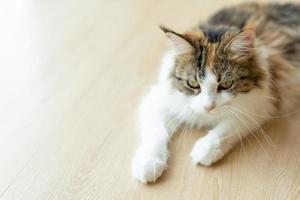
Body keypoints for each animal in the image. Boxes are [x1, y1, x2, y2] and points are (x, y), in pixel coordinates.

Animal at [132, 2, 300, 184]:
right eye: (193, 84)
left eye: (226, 84)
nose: (208, 107)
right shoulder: (158, 99)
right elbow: (156, 132)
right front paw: (148, 163)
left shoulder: (262, 103)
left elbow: (228, 127)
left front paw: (205, 150)